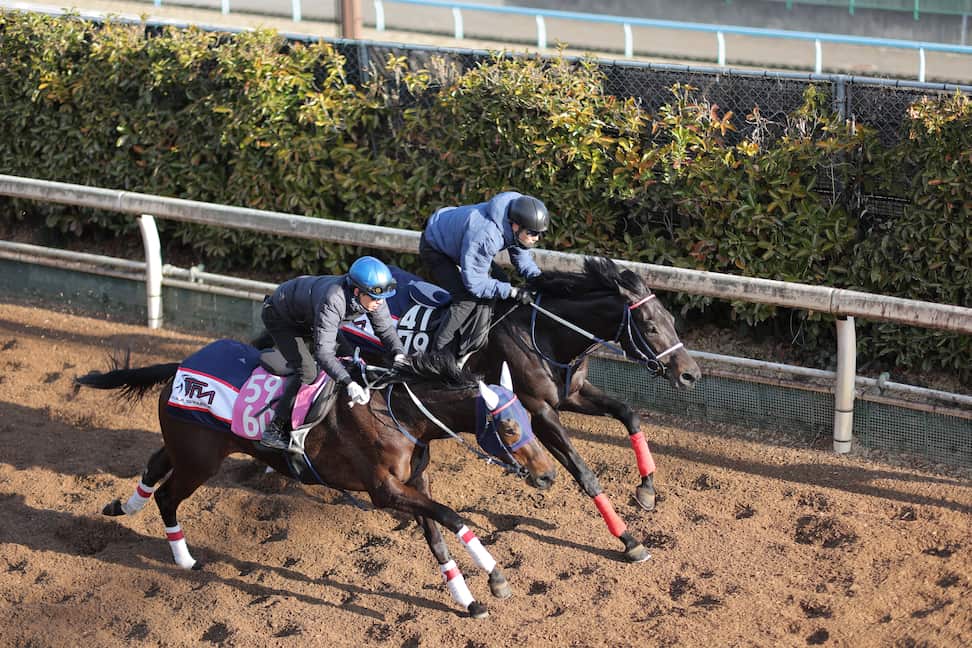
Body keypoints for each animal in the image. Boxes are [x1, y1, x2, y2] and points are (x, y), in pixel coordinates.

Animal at [75, 342, 557, 619]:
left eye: (528, 418)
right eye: (508, 427)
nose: (549, 474)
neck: (400, 414)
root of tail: (182, 367)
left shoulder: (413, 486)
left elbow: (438, 536)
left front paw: (469, 598)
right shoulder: (385, 493)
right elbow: (452, 517)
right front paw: (495, 578)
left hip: (188, 447)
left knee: (155, 465)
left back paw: (121, 507)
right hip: (200, 462)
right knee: (168, 497)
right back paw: (185, 560)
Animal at [338, 256, 701, 563]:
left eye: (671, 320)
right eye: (650, 326)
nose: (690, 374)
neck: (542, 333)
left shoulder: (572, 394)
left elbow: (629, 413)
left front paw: (647, 490)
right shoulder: (539, 411)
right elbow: (585, 474)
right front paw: (629, 540)